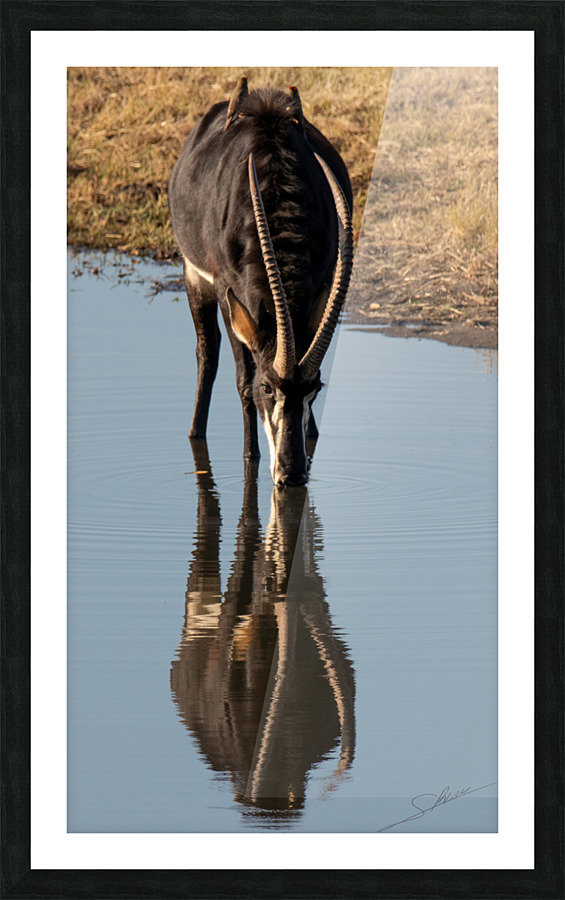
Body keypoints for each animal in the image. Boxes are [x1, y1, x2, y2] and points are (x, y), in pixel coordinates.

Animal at [168, 77, 353, 486]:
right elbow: (241, 378)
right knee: (207, 353)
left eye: (314, 387)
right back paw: (195, 433)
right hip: (194, 275)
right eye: (267, 387)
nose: (292, 473)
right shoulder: (227, 291)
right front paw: (250, 458)